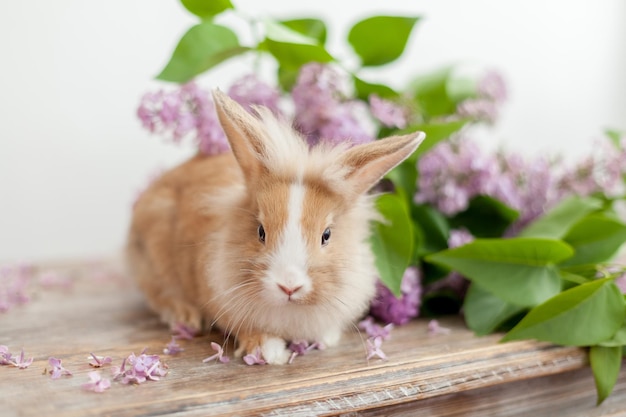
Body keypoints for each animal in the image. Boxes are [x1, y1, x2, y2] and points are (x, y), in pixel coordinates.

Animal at [128, 89, 424, 362]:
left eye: (326, 235)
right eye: (261, 231)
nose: (289, 287)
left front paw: (324, 339)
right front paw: (269, 352)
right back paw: (186, 317)